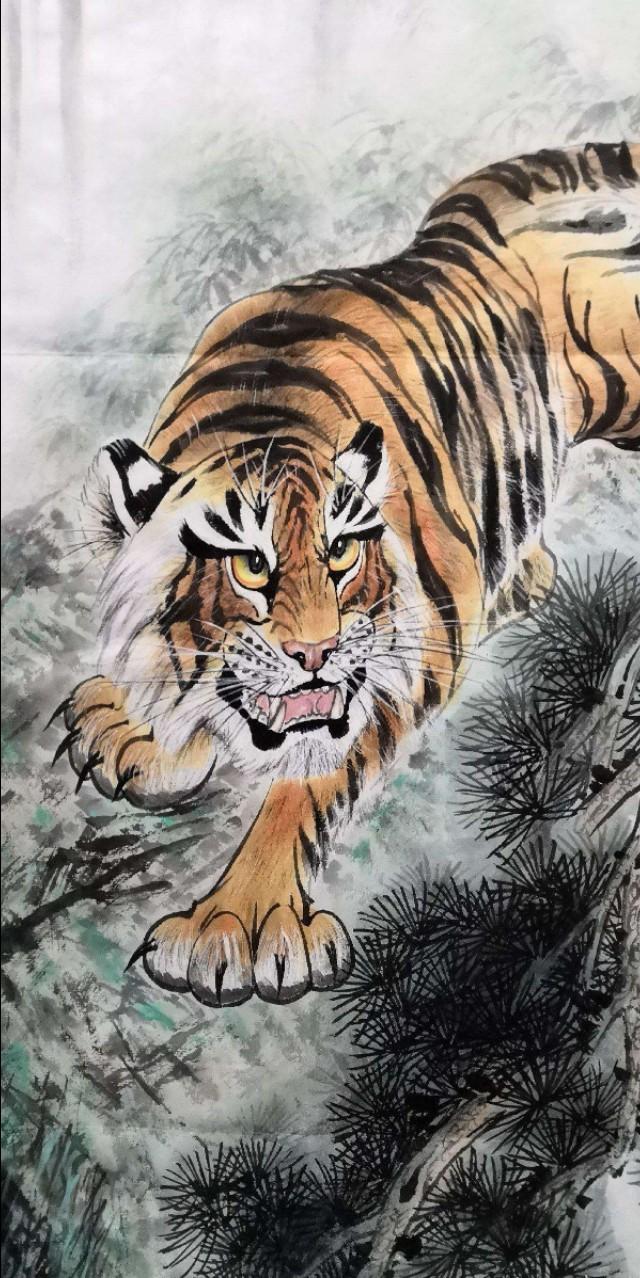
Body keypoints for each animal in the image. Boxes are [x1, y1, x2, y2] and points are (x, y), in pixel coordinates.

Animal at [55, 141, 639, 1008]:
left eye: (341, 555)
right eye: (250, 565)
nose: (314, 653)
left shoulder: (403, 654)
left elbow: (309, 780)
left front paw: (240, 925)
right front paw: (130, 729)